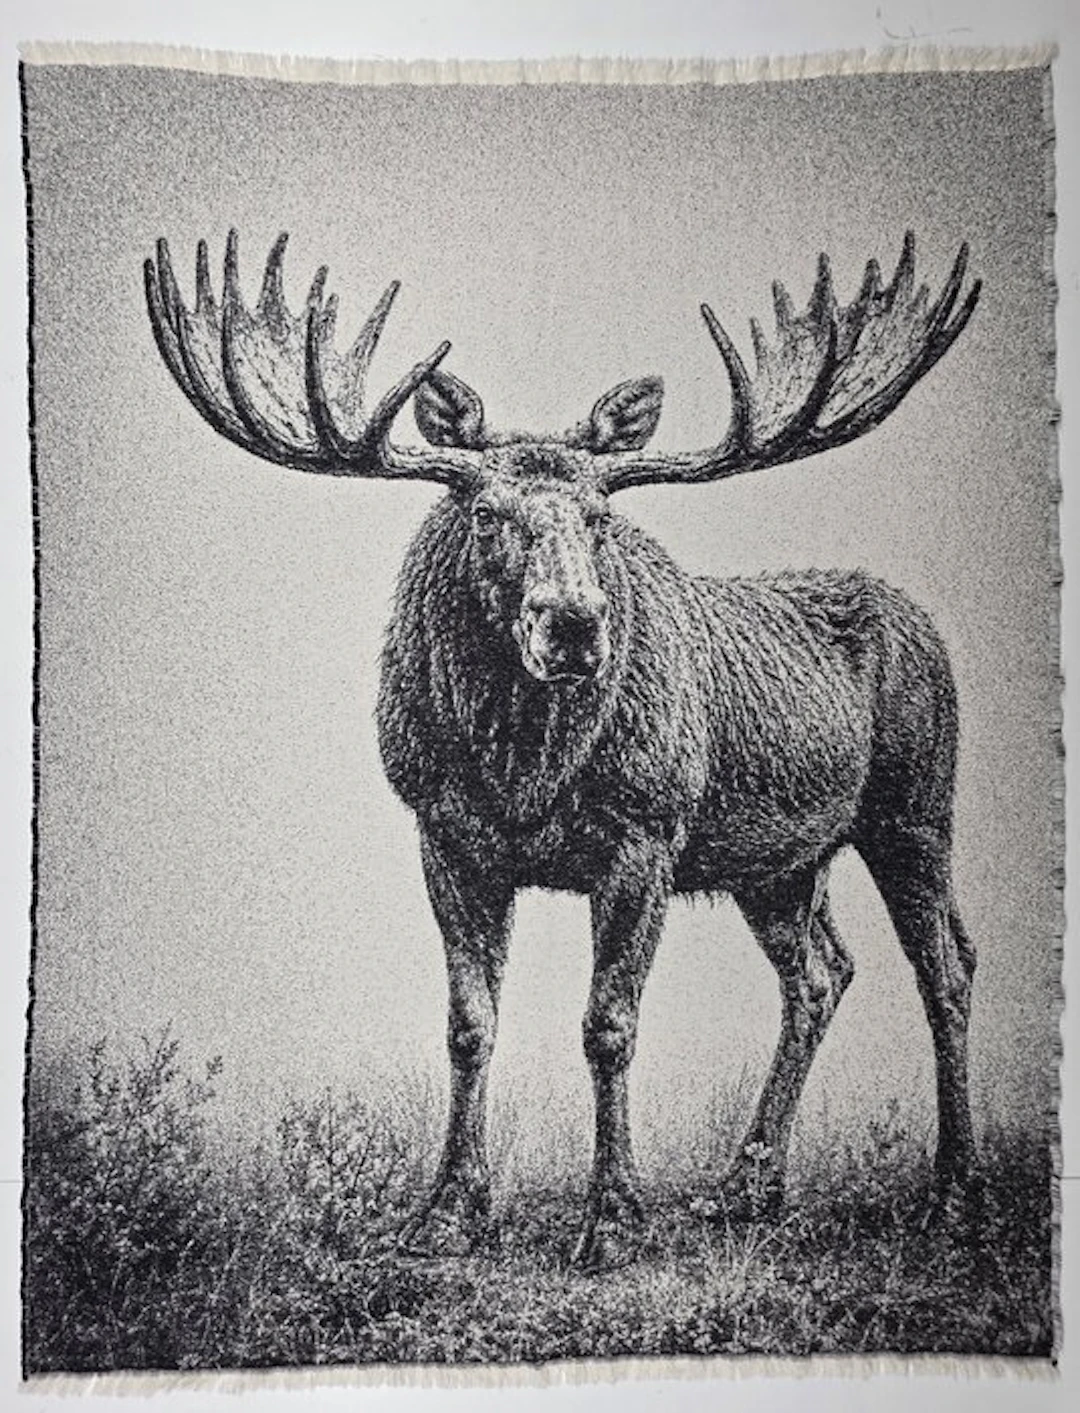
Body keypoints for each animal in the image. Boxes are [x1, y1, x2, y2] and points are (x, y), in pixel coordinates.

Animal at [145, 228, 981, 1270]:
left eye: (600, 518)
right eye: (486, 514)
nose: (576, 623)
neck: (524, 773)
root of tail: (926, 624)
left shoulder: (647, 833)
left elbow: (608, 1025)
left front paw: (613, 1217)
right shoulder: (446, 833)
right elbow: (469, 1024)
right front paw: (446, 1211)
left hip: (916, 806)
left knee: (946, 965)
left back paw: (952, 1192)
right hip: (779, 862)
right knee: (822, 972)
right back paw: (745, 1189)